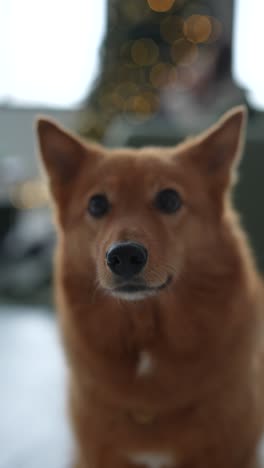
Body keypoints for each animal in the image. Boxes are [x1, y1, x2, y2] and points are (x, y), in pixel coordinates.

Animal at [36, 107, 264, 468]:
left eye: (169, 199)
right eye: (97, 205)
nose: (125, 256)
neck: (146, 331)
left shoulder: (230, 452)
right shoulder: (99, 455)